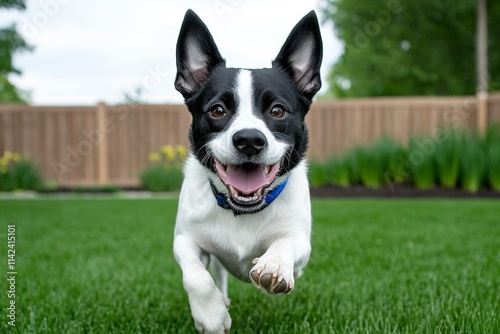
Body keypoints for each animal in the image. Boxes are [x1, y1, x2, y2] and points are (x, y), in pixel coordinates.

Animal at [174, 9, 322, 332]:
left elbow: (286, 241)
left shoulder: (302, 247)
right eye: (218, 110)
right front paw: (211, 315)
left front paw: (274, 264)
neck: (243, 211)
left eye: (277, 111)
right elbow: (195, 275)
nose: (250, 140)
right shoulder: (184, 241)